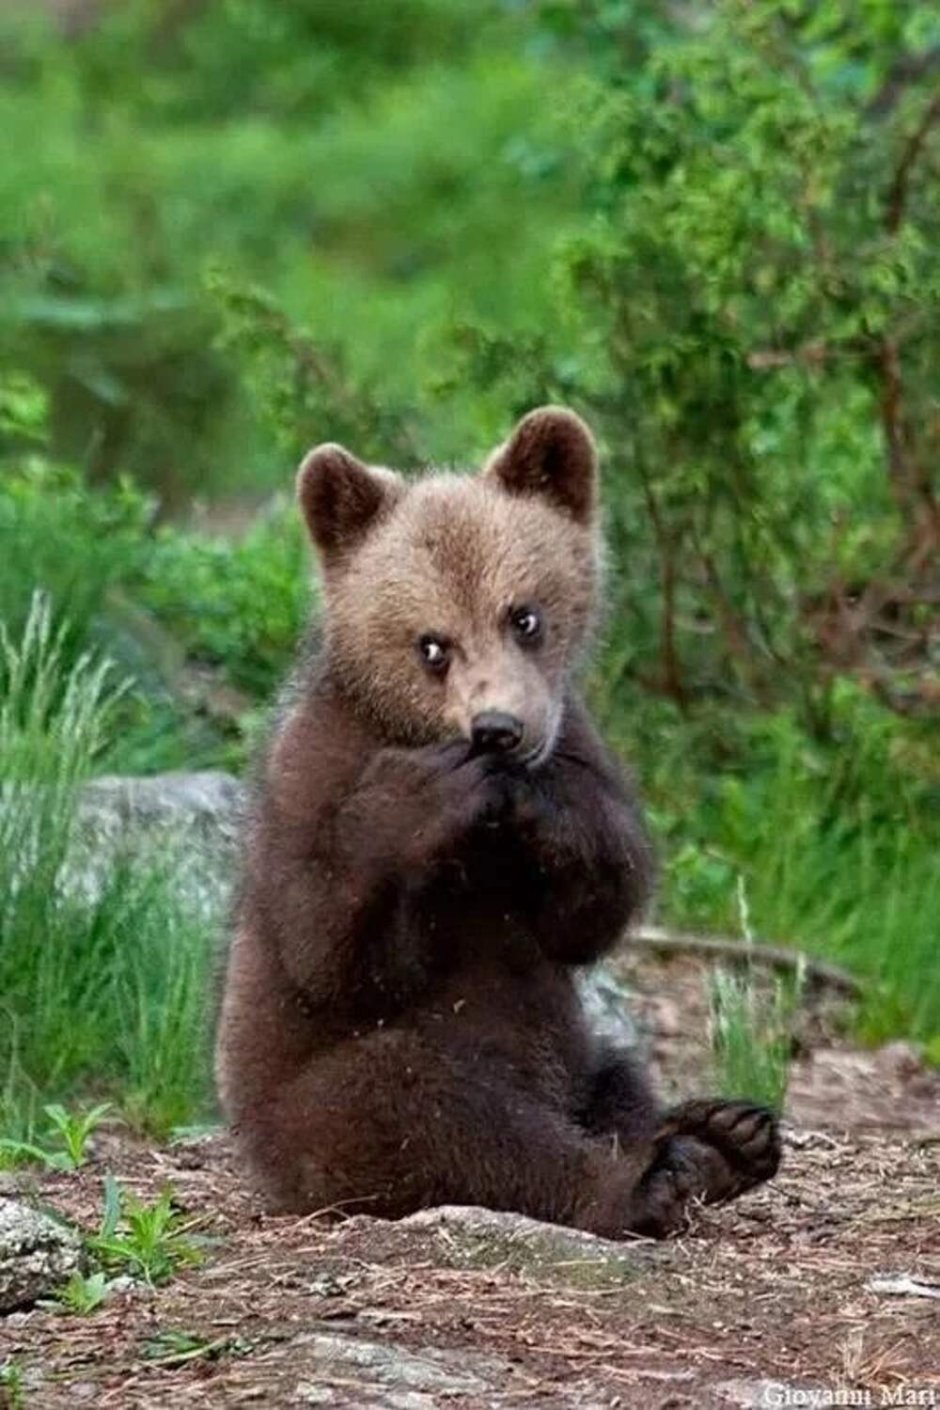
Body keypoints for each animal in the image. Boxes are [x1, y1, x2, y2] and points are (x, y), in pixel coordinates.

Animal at [215, 406, 781, 1238]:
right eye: (432, 644)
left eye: (525, 616)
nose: (499, 729)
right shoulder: (311, 771)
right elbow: (326, 942)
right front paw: (423, 797)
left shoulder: (578, 743)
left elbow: (593, 905)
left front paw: (538, 805)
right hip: (308, 1114)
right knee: (426, 1106)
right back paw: (644, 1180)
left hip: (575, 1058)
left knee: (615, 1073)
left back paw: (720, 1139)